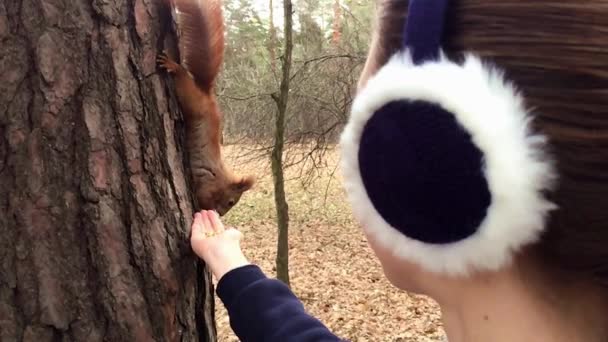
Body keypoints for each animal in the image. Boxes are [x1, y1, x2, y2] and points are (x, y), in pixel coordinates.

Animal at [157, 0, 254, 215]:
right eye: (231, 202)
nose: (221, 214)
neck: (221, 179)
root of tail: (207, 94)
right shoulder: (207, 187)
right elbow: (202, 199)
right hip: (190, 99)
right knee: (182, 77)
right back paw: (173, 66)